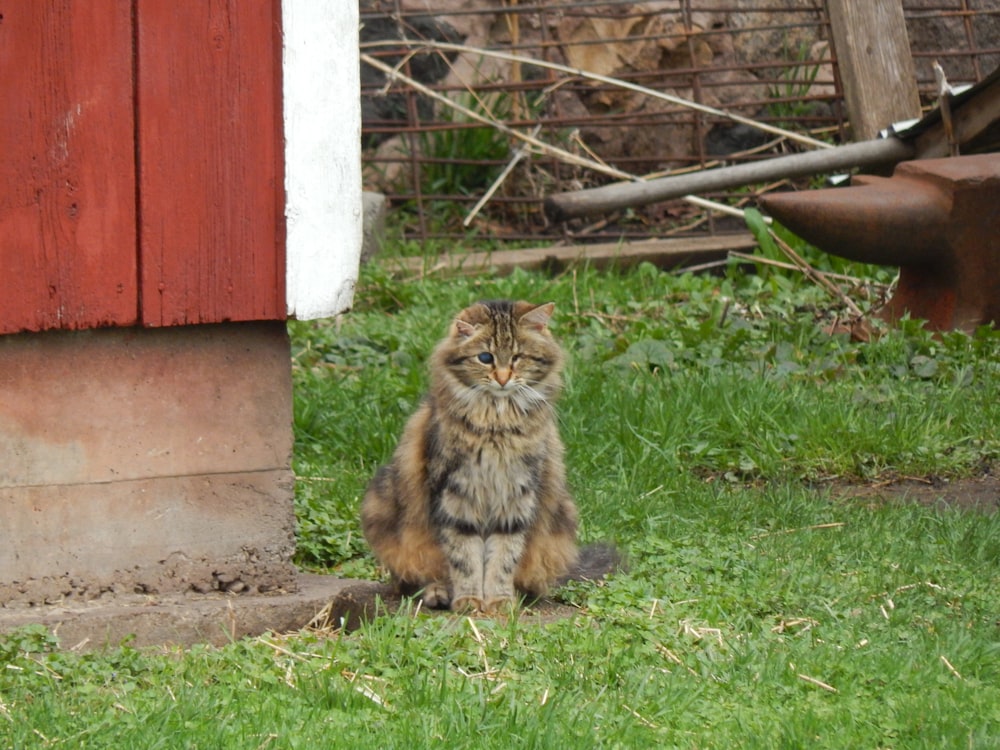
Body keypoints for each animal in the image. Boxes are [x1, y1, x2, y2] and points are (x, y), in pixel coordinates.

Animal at [364, 296, 584, 612]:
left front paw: (499, 601)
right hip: (382, 508)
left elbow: (503, 558)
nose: (503, 379)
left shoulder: (516, 496)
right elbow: (464, 558)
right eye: (485, 358)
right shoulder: (455, 494)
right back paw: (438, 593)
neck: (496, 423)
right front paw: (469, 601)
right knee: (410, 578)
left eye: (517, 357)